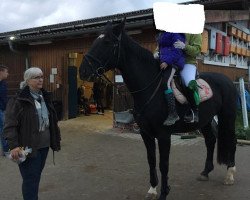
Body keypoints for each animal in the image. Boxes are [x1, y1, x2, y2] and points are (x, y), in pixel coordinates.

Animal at [79, 20, 237, 200]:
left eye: (106, 42)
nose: (83, 71)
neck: (150, 86)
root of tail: (227, 80)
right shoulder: (145, 133)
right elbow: (151, 160)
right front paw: (153, 189)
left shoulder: (163, 135)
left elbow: (163, 164)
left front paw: (163, 193)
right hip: (205, 120)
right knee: (210, 141)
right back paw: (205, 172)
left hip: (228, 117)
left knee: (232, 141)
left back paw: (230, 174)